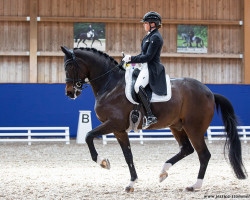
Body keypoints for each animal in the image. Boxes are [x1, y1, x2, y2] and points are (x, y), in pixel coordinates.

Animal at [60, 46, 246, 192]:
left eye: (69, 66)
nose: (69, 93)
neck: (110, 85)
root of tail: (210, 93)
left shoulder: (113, 123)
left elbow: (88, 136)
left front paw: (103, 162)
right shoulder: (119, 130)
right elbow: (128, 155)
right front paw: (131, 183)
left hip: (194, 129)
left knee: (203, 154)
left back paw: (195, 185)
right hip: (176, 126)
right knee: (186, 149)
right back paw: (163, 171)